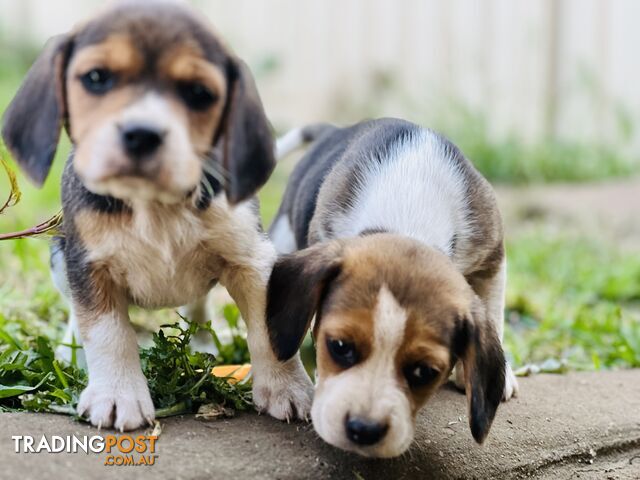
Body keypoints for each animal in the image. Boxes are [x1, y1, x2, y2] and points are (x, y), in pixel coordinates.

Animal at [1, 0, 312, 432]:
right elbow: (108, 333)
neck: (154, 203)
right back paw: (72, 354)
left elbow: (269, 332)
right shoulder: (88, 266)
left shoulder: (251, 260)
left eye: (199, 93)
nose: (142, 133)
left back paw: (203, 345)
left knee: (197, 307)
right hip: (61, 261)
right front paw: (117, 395)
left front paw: (287, 389)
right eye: (96, 78)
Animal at [266, 120, 520, 458]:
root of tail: (335, 130)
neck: (409, 214)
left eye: (424, 372)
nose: (363, 430)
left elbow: (493, 311)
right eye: (339, 347)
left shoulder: (492, 255)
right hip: (282, 235)